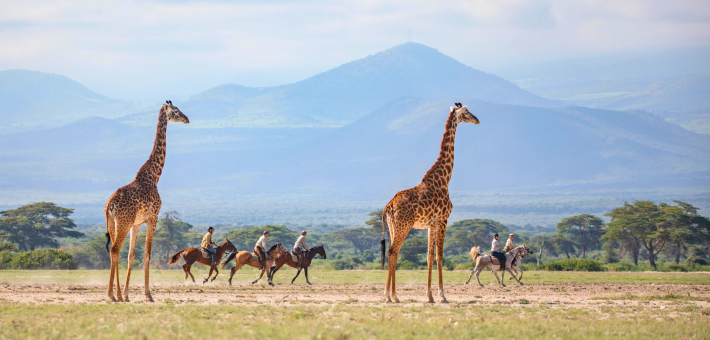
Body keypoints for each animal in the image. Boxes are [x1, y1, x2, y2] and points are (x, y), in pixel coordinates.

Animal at [103, 99, 189, 302]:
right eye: (176, 111)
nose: (187, 118)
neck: (154, 176)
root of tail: (110, 205)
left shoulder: (136, 223)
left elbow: (131, 255)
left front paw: (127, 294)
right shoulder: (153, 217)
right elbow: (147, 255)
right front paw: (148, 294)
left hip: (113, 224)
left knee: (114, 252)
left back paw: (117, 294)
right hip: (123, 223)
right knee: (114, 250)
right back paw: (111, 295)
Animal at [382, 101, 482, 302]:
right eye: (467, 112)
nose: (477, 120)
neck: (444, 179)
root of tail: (388, 206)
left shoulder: (431, 224)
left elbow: (429, 257)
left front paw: (429, 296)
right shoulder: (443, 220)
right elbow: (440, 256)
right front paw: (442, 296)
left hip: (393, 227)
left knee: (393, 253)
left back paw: (393, 295)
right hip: (404, 225)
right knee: (393, 252)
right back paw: (389, 296)